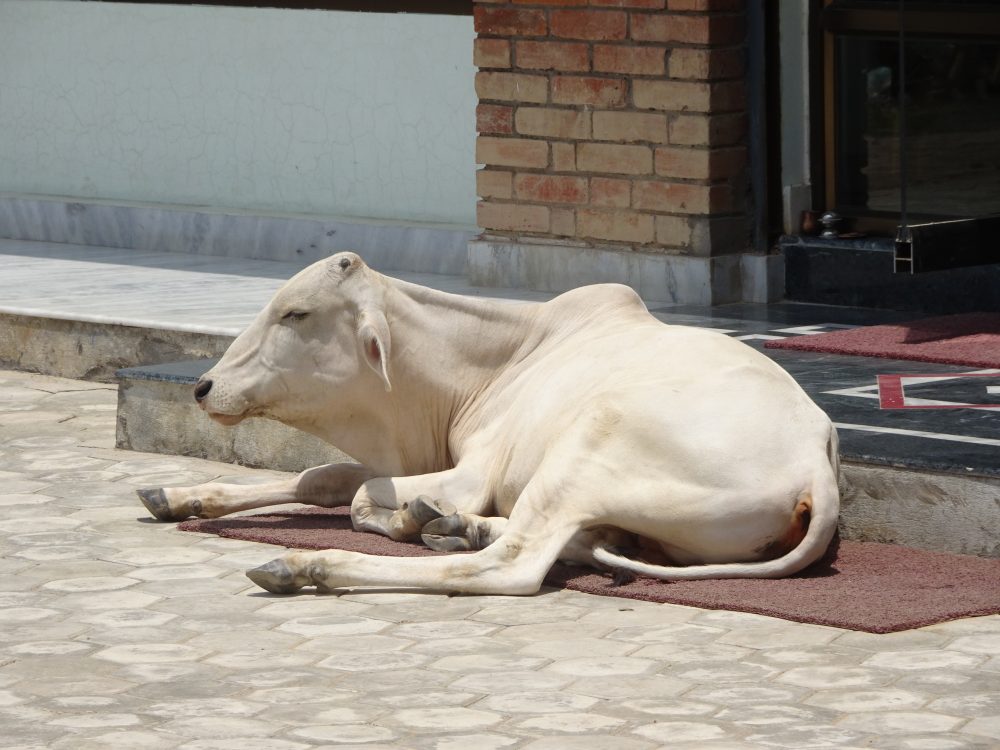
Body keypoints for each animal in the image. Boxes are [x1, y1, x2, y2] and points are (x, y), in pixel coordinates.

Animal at [137, 256, 840, 596]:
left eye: (296, 313)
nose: (203, 386)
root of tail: (817, 462)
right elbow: (320, 477)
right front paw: (178, 494)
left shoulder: (472, 472)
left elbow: (361, 497)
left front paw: (408, 518)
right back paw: (457, 528)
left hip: (588, 444)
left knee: (514, 566)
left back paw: (313, 566)